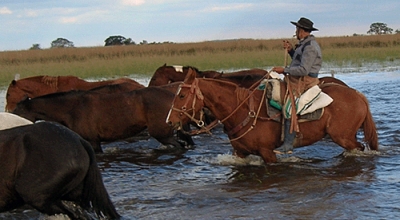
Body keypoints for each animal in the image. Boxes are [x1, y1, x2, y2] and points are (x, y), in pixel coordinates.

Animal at [166, 69, 378, 163]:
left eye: (182, 95)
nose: (170, 121)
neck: (242, 111)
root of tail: (357, 95)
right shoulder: (240, 153)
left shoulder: (268, 153)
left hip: (343, 137)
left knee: (359, 148)